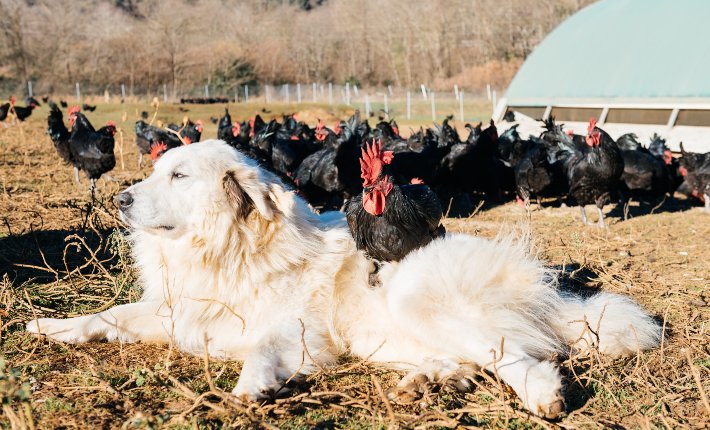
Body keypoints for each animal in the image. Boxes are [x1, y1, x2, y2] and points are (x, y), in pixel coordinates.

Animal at [26, 143, 660, 418]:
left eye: (178, 176)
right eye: (157, 170)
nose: (120, 198)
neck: (229, 249)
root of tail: (547, 291)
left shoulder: (297, 330)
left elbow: (262, 348)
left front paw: (253, 388)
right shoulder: (178, 310)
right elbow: (109, 317)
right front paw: (54, 326)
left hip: (416, 304)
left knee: (520, 358)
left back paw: (541, 396)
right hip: (386, 336)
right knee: (468, 362)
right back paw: (429, 382)